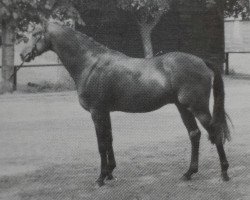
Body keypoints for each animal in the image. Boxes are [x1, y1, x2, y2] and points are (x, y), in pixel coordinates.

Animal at [20, 22, 231, 187]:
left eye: (36, 34)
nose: (23, 54)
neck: (90, 64)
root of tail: (201, 61)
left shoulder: (97, 112)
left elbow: (101, 144)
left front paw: (100, 178)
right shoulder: (105, 112)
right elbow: (109, 139)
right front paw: (110, 173)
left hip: (198, 108)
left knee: (215, 132)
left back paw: (224, 173)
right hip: (183, 108)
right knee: (194, 134)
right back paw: (188, 173)